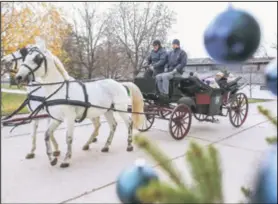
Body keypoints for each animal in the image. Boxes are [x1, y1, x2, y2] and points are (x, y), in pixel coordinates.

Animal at [15, 38, 144, 167]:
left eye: (37, 58)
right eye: (25, 57)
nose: (18, 77)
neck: (60, 89)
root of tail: (120, 84)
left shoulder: (69, 118)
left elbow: (68, 138)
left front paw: (66, 160)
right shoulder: (56, 118)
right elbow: (46, 135)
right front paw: (52, 159)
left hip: (120, 108)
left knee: (129, 123)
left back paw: (129, 145)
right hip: (107, 110)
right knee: (113, 125)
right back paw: (106, 146)